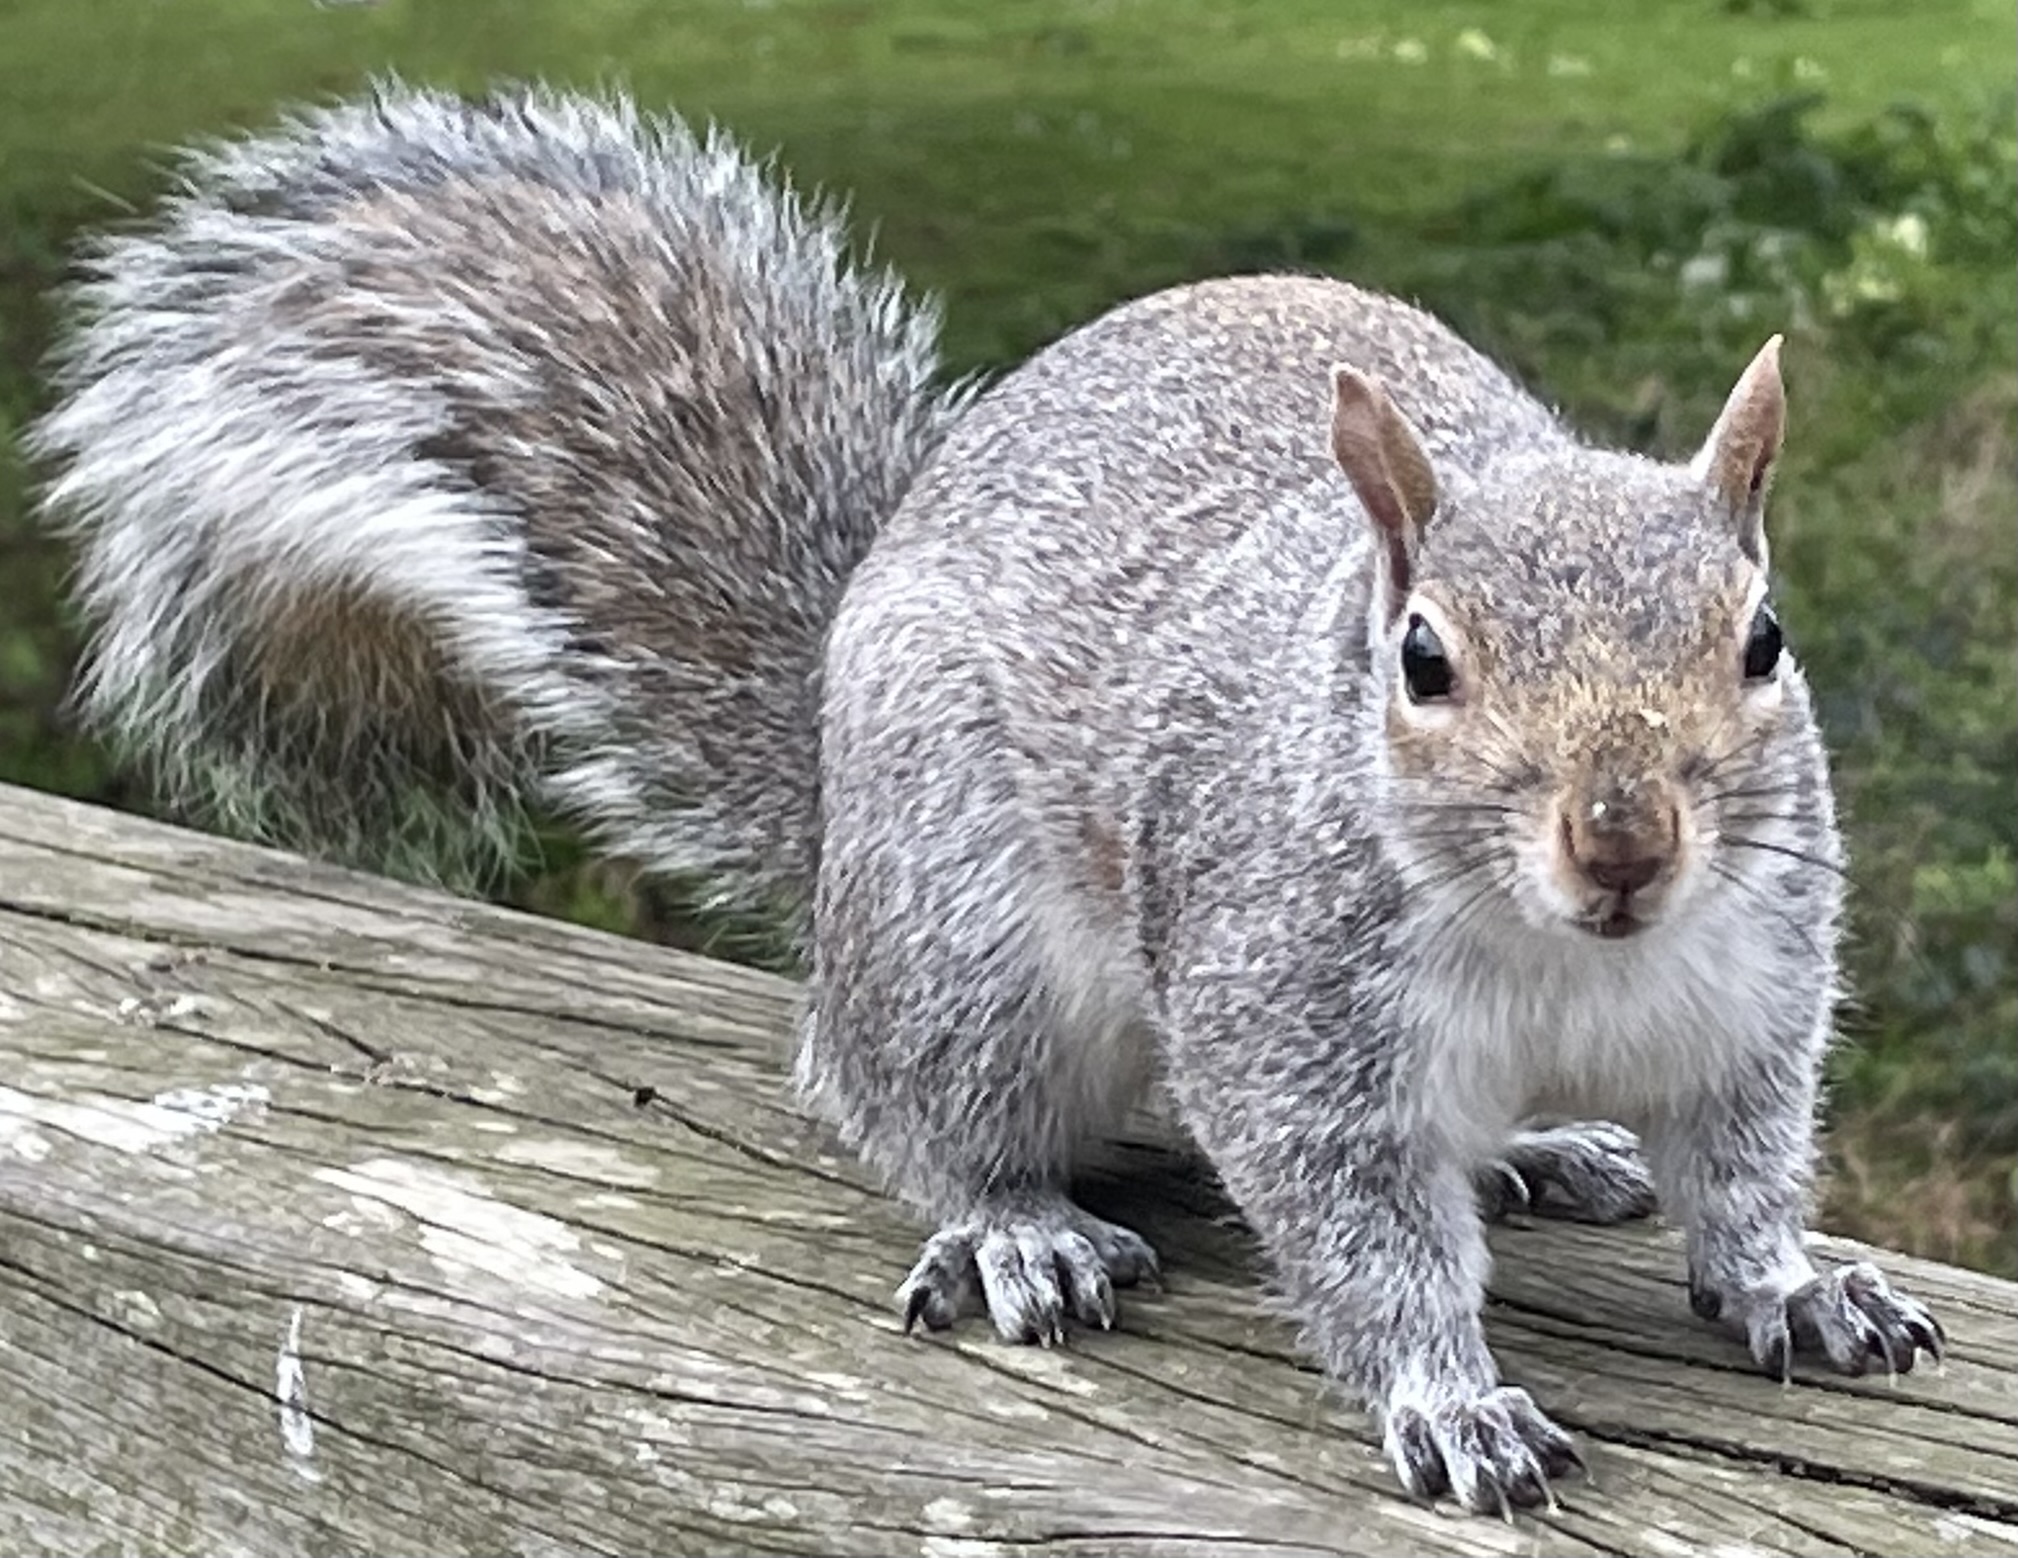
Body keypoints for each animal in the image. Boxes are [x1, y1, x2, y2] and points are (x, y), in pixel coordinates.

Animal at [32, 82, 1944, 1512]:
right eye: (1419, 660)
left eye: (1761, 637)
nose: (1623, 843)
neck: (1567, 957)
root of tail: (829, 806)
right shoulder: (1282, 1019)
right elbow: (1358, 1234)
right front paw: (1447, 1398)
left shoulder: (1749, 999)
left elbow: (1742, 1171)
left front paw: (1796, 1281)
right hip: (964, 953)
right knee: (902, 1104)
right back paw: (1015, 1231)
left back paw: (1544, 1145)